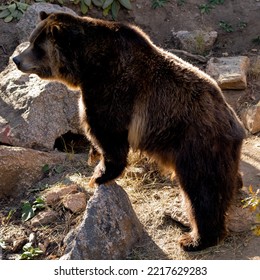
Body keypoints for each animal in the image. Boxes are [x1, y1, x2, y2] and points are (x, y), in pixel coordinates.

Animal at [12, 11, 246, 252]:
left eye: (37, 46)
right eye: (31, 39)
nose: (16, 60)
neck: (88, 65)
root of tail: (234, 123)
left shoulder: (113, 88)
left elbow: (108, 134)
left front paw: (99, 175)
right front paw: (94, 160)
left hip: (196, 142)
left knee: (203, 189)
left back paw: (195, 239)